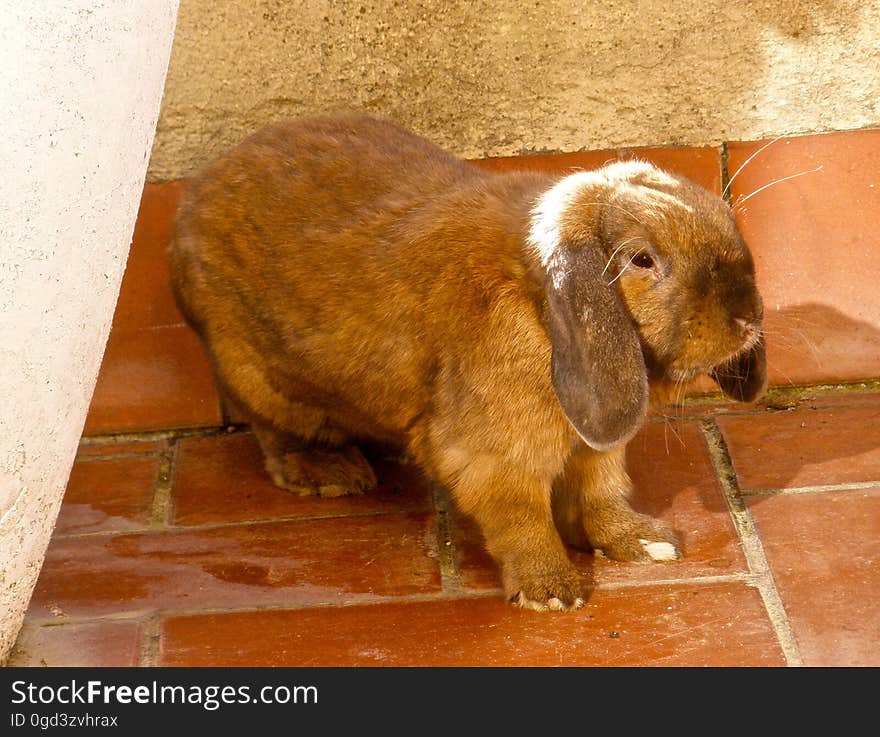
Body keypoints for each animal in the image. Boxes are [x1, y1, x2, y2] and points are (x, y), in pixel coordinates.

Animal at [170, 112, 764, 608]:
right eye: (642, 260)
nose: (747, 318)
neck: (537, 304)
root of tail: (195, 196)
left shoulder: (594, 447)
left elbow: (601, 494)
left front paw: (646, 543)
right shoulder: (493, 456)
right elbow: (521, 517)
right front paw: (551, 590)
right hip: (256, 375)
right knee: (275, 433)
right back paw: (331, 473)